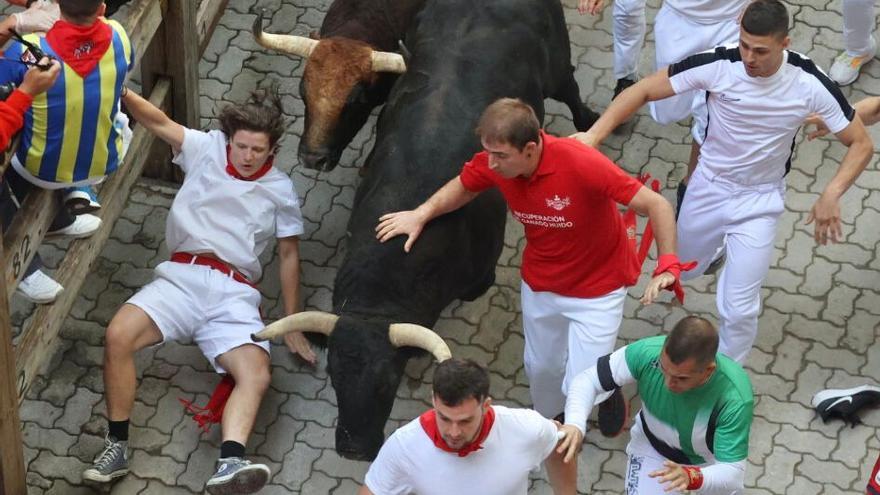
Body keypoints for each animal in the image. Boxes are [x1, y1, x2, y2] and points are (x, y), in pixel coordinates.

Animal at [290, 0, 600, 462]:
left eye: (387, 381)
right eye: (334, 376)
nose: (354, 449)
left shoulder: (479, 279)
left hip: (558, 64)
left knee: (571, 87)